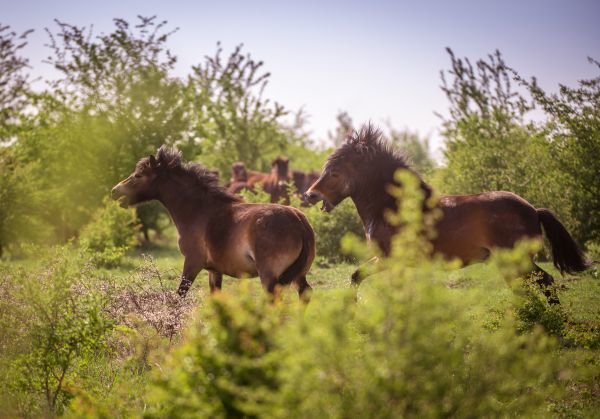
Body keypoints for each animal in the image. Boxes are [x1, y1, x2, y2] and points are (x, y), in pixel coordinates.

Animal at [114, 146, 316, 300]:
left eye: (139, 175)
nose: (115, 191)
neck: (200, 211)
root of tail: (299, 222)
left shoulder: (192, 262)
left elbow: (179, 295)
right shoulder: (214, 271)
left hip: (269, 276)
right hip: (299, 275)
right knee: (305, 294)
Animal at [304, 123, 592, 304]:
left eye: (334, 173)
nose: (309, 195)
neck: (395, 207)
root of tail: (533, 210)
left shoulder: (390, 259)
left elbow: (366, 279)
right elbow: (358, 276)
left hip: (515, 260)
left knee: (545, 281)